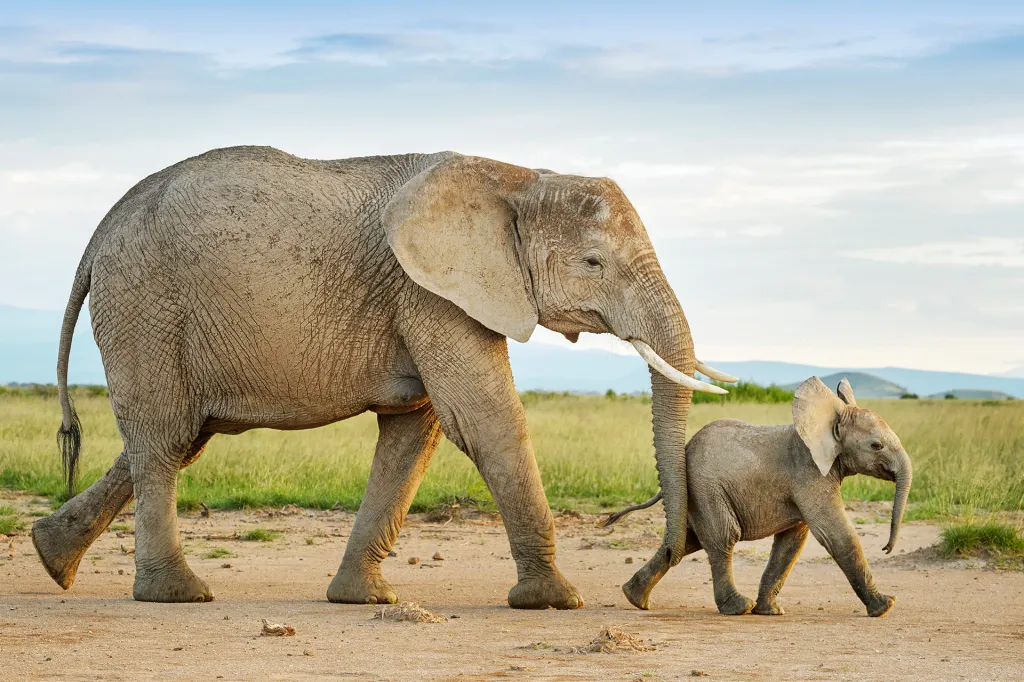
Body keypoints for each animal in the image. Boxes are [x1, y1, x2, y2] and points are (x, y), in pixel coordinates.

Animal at [31, 146, 736, 607]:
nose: (638, 591)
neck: (516, 176)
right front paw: (556, 601)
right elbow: (484, 420)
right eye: (593, 262)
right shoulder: (430, 291)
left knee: (176, 439)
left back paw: (50, 557)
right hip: (145, 305)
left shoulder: (429, 294)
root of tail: (99, 232)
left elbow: (413, 435)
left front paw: (363, 600)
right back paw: (175, 595)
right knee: (163, 440)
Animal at [606, 376, 912, 617]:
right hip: (706, 488)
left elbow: (791, 544)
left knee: (690, 540)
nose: (886, 548)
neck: (827, 422)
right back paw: (738, 607)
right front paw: (885, 606)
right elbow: (836, 535)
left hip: (696, 492)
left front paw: (771, 611)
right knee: (723, 536)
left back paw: (635, 598)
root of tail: (686, 448)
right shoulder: (809, 475)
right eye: (876, 446)